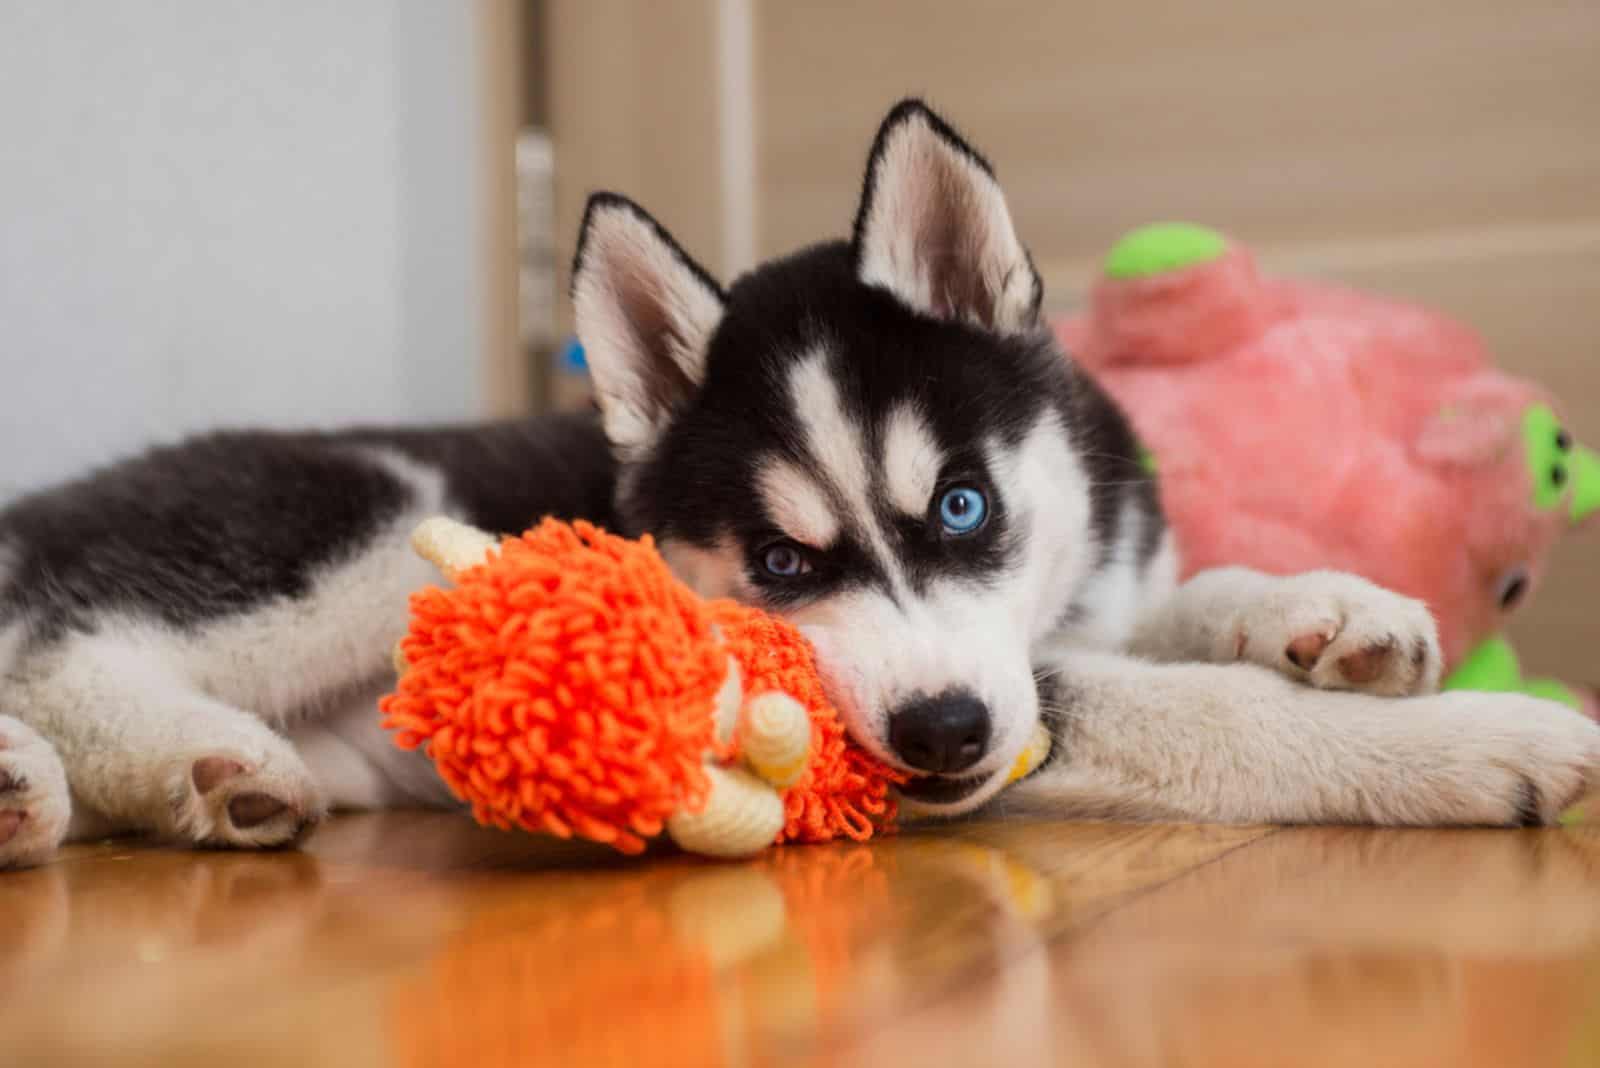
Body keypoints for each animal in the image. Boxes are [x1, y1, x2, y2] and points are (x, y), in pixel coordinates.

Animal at [3, 99, 1600, 869]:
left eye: (961, 505)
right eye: (778, 566)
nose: (945, 736)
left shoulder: (1067, 600)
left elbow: (1174, 604)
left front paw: (1332, 612)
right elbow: (1193, 708)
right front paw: (1476, 739)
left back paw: (97, 787)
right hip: (379, 522)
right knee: (64, 642)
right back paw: (152, 765)